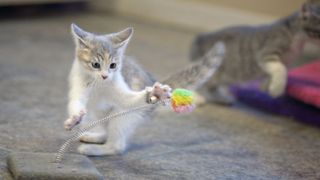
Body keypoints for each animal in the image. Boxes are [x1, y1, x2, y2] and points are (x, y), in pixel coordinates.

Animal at [64, 23, 225, 156]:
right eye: (95, 65)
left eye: (113, 65)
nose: (105, 76)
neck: (99, 85)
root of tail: (151, 80)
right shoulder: (78, 84)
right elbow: (76, 102)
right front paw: (74, 119)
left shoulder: (121, 88)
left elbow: (129, 99)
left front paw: (156, 93)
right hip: (98, 114)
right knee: (105, 129)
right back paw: (94, 136)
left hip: (123, 115)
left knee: (117, 145)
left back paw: (93, 149)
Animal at [189, 0, 320, 105]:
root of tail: (199, 38)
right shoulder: (267, 52)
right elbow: (280, 69)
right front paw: (276, 89)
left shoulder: (285, 61)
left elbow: (277, 71)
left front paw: (266, 85)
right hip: (207, 70)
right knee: (196, 83)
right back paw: (197, 97)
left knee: (211, 87)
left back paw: (222, 98)